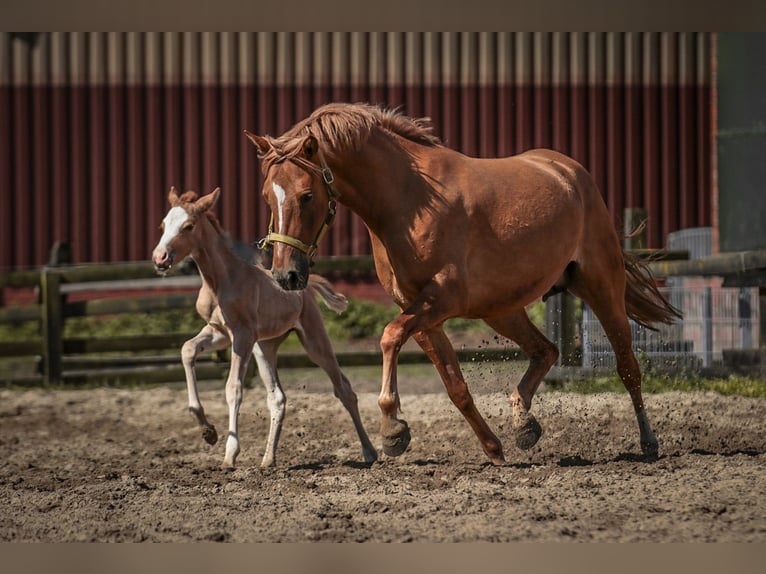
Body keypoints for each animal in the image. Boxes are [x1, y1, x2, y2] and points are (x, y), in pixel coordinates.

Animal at [151, 189, 378, 472]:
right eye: (163, 225)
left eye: (188, 226)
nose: (160, 258)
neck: (221, 281)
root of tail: (304, 286)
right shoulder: (219, 333)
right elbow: (187, 349)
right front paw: (208, 431)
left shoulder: (242, 335)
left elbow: (233, 388)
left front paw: (230, 454)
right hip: (265, 347)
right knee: (277, 398)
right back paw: (268, 459)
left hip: (313, 339)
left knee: (344, 389)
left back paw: (370, 451)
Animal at [244, 103, 680, 466]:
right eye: (266, 195)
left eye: (306, 195)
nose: (286, 275)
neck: (408, 201)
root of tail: (570, 172)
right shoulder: (423, 315)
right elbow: (455, 386)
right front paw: (493, 449)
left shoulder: (442, 300)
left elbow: (388, 337)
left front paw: (392, 430)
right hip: (502, 310)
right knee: (547, 350)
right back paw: (524, 423)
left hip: (601, 287)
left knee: (627, 366)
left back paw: (648, 442)